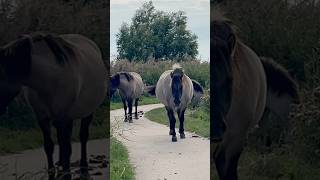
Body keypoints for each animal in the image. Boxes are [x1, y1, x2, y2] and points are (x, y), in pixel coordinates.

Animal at [0, 33, 107, 179]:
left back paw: (83, 167)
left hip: (87, 112)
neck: (50, 78)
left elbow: (66, 146)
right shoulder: (42, 117)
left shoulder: (63, 116)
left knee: (83, 137)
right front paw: (52, 173)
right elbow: (49, 146)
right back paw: (61, 164)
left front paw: (66, 174)